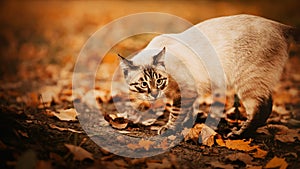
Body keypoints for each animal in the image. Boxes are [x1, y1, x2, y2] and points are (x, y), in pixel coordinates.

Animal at [118, 13, 298, 137]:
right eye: (144, 84)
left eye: (160, 81)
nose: (155, 94)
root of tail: (281, 26)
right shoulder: (193, 92)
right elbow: (190, 111)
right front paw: (187, 125)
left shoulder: (185, 92)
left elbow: (176, 113)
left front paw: (170, 129)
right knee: (268, 104)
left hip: (247, 81)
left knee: (260, 109)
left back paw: (238, 134)